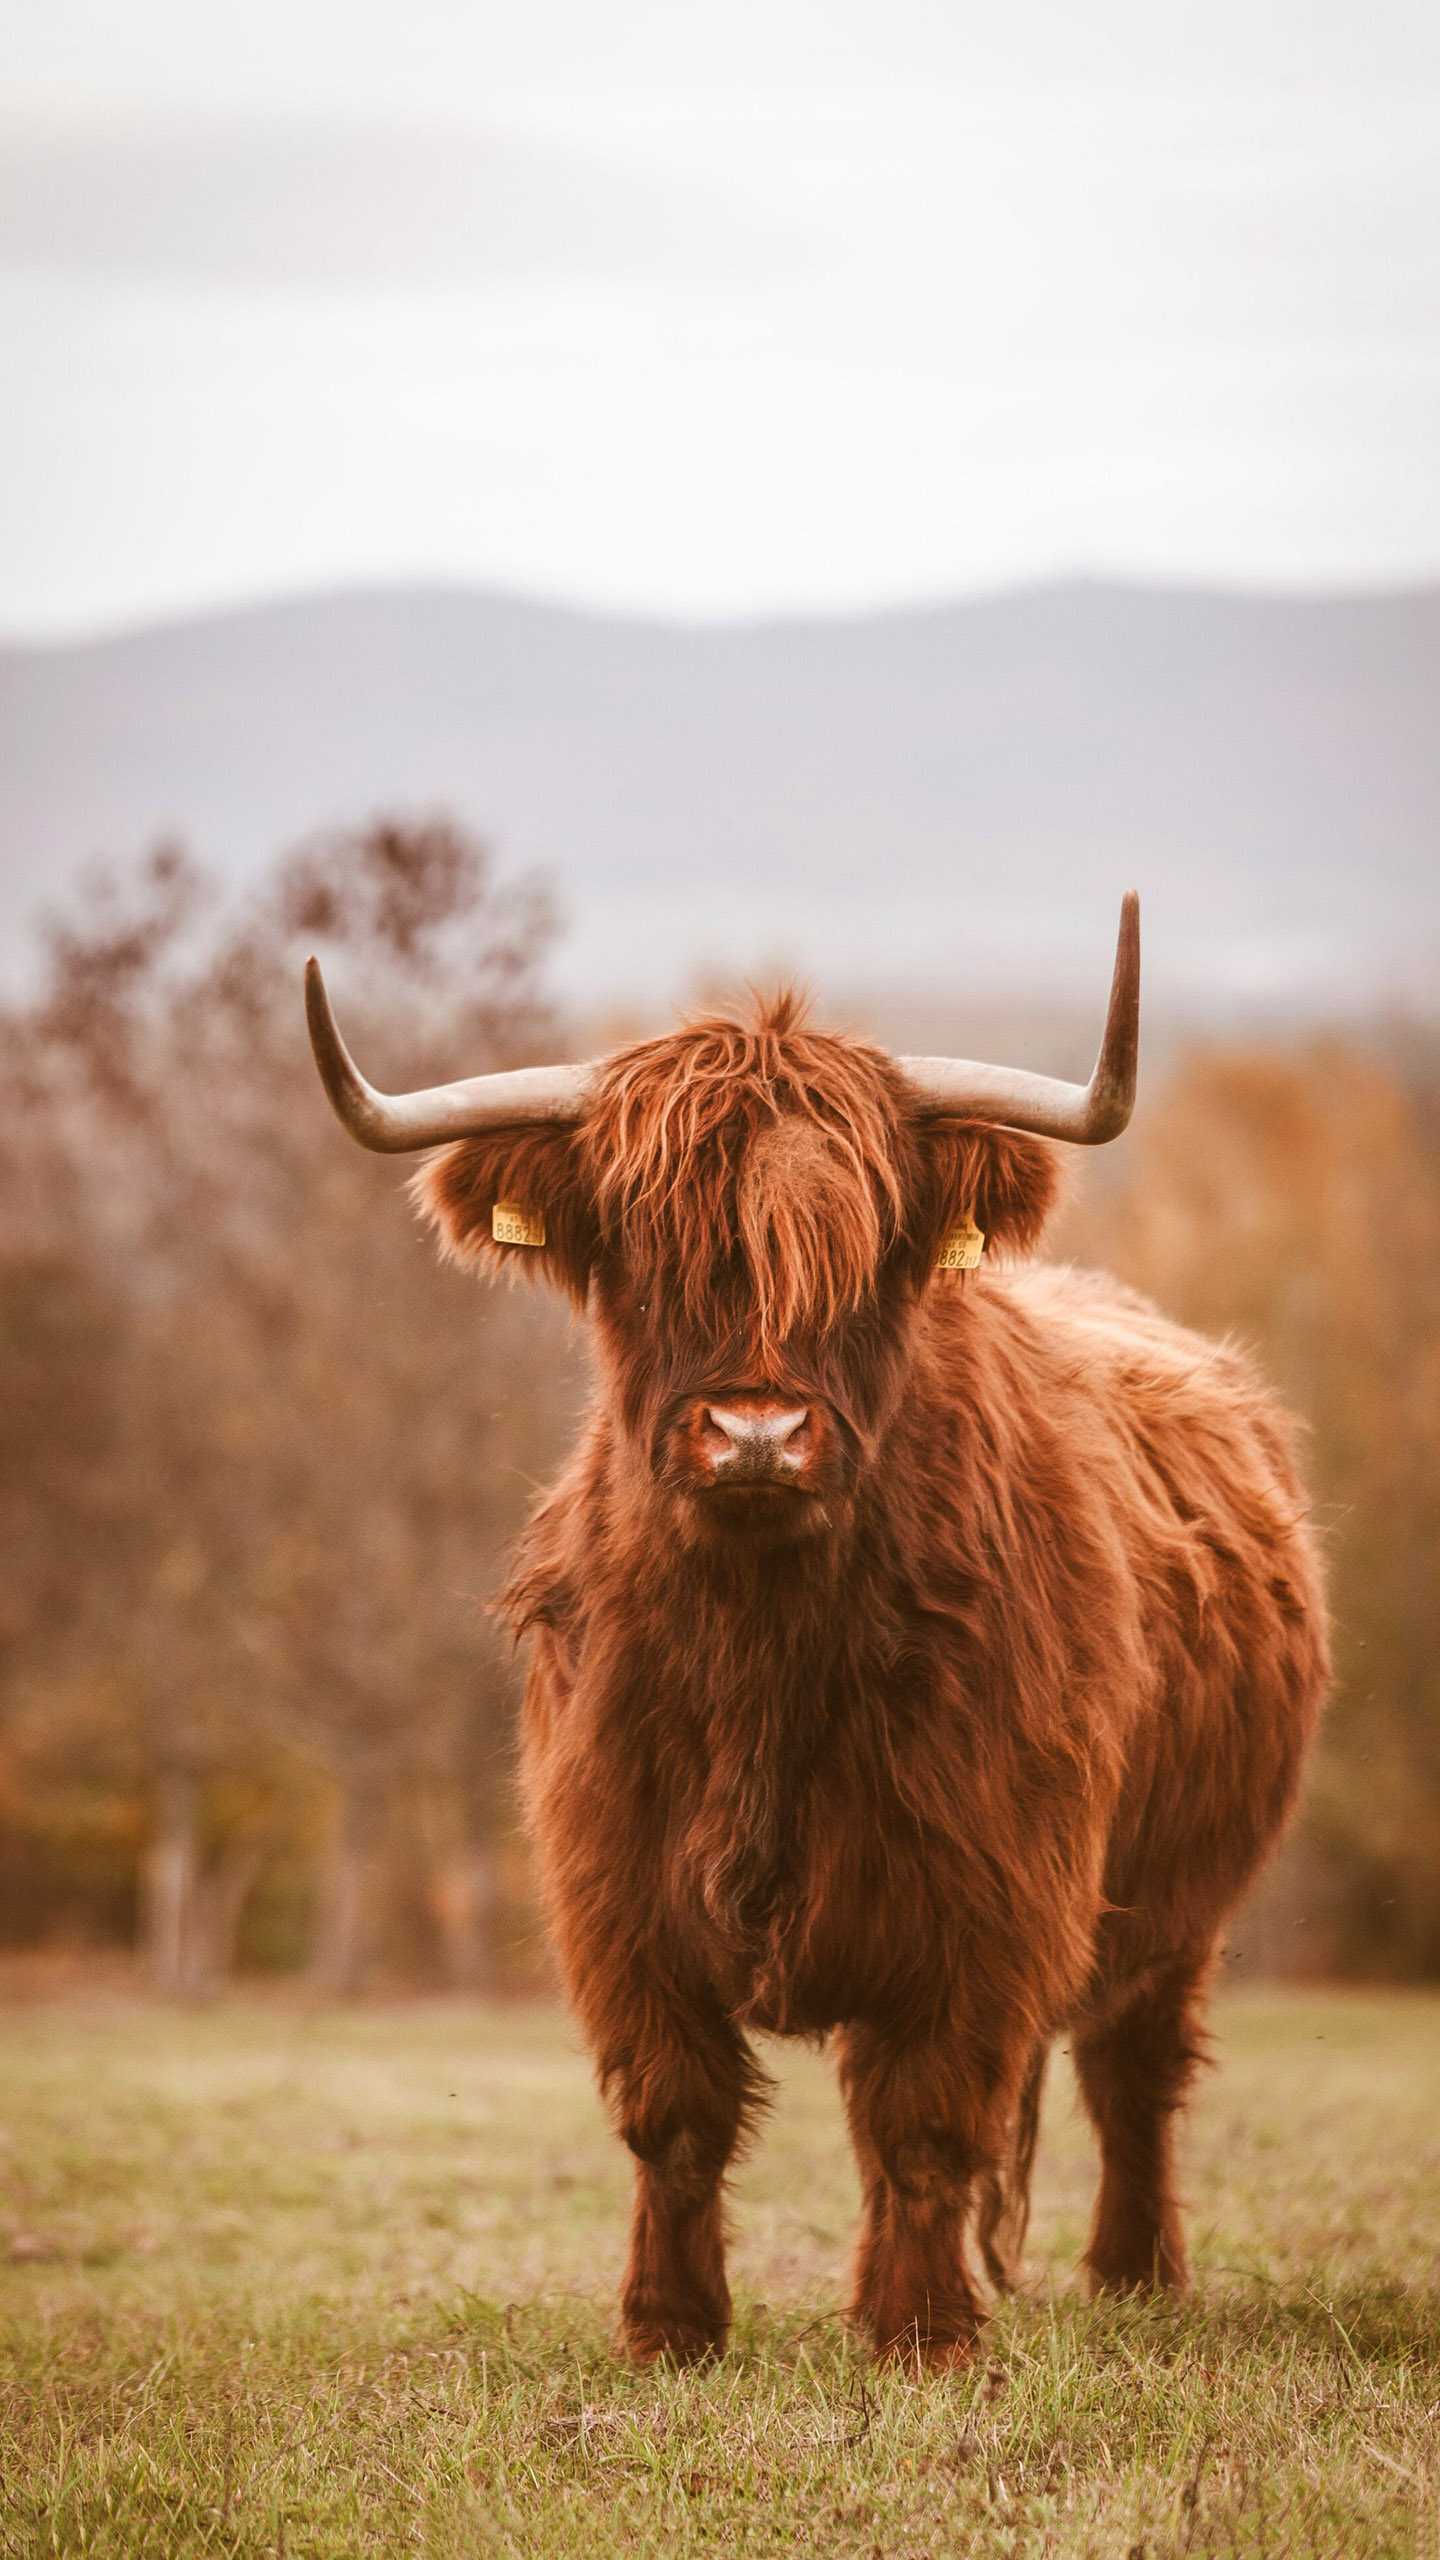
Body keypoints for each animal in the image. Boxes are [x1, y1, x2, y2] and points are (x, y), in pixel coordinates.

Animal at [304, 896, 1328, 2370]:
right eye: (641, 1251)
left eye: (867, 1253)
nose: (755, 1433)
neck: (762, 1645)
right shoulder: (615, 1881)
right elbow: (674, 2115)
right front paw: (670, 2329)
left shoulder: (985, 1888)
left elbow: (929, 2115)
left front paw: (922, 2334)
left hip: (1179, 1898)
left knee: (1131, 2070)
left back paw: (1136, 2277)